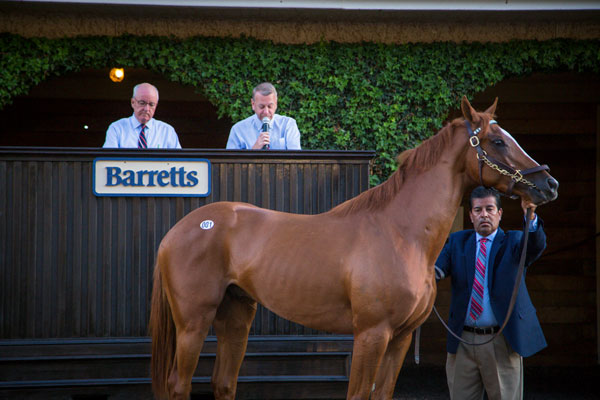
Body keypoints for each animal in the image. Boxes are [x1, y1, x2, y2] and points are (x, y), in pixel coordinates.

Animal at [149, 97, 556, 400]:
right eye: (497, 141)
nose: (548, 184)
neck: (400, 233)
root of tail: (177, 231)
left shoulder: (400, 338)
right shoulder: (372, 335)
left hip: (236, 315)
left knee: (224, 383)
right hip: (194, 322)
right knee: (178, 385)